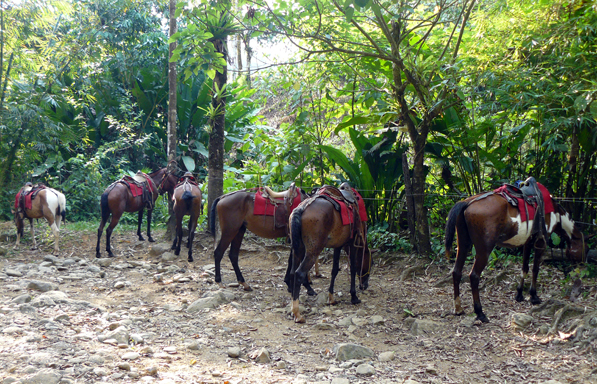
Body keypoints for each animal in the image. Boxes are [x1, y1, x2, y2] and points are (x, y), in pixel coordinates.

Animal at [286, 184, 370, 322]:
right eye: (370, 264)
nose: (365, 285)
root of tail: (301, 208)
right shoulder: (352, 244)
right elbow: (353, 268)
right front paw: (354, 296)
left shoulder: (338, 245)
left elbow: (335, 269)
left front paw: (331, 298)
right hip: (313, 251)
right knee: (299, 273)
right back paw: (297, 313)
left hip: (298, 249)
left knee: (292, 272)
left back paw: (293, 306)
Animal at [442, 178, 588, 322]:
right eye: (584, 249)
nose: (582, 264)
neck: (555, 213)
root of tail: (467, 202)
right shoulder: (541, 243)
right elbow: (535, 269)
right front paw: (533, 296)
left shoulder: (527, 243)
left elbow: (524, 269)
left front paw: (519, 294)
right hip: (484, 250)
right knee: (474, 276)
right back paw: (480, 312)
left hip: (463, 244)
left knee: (456, 272)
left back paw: (458, 308)